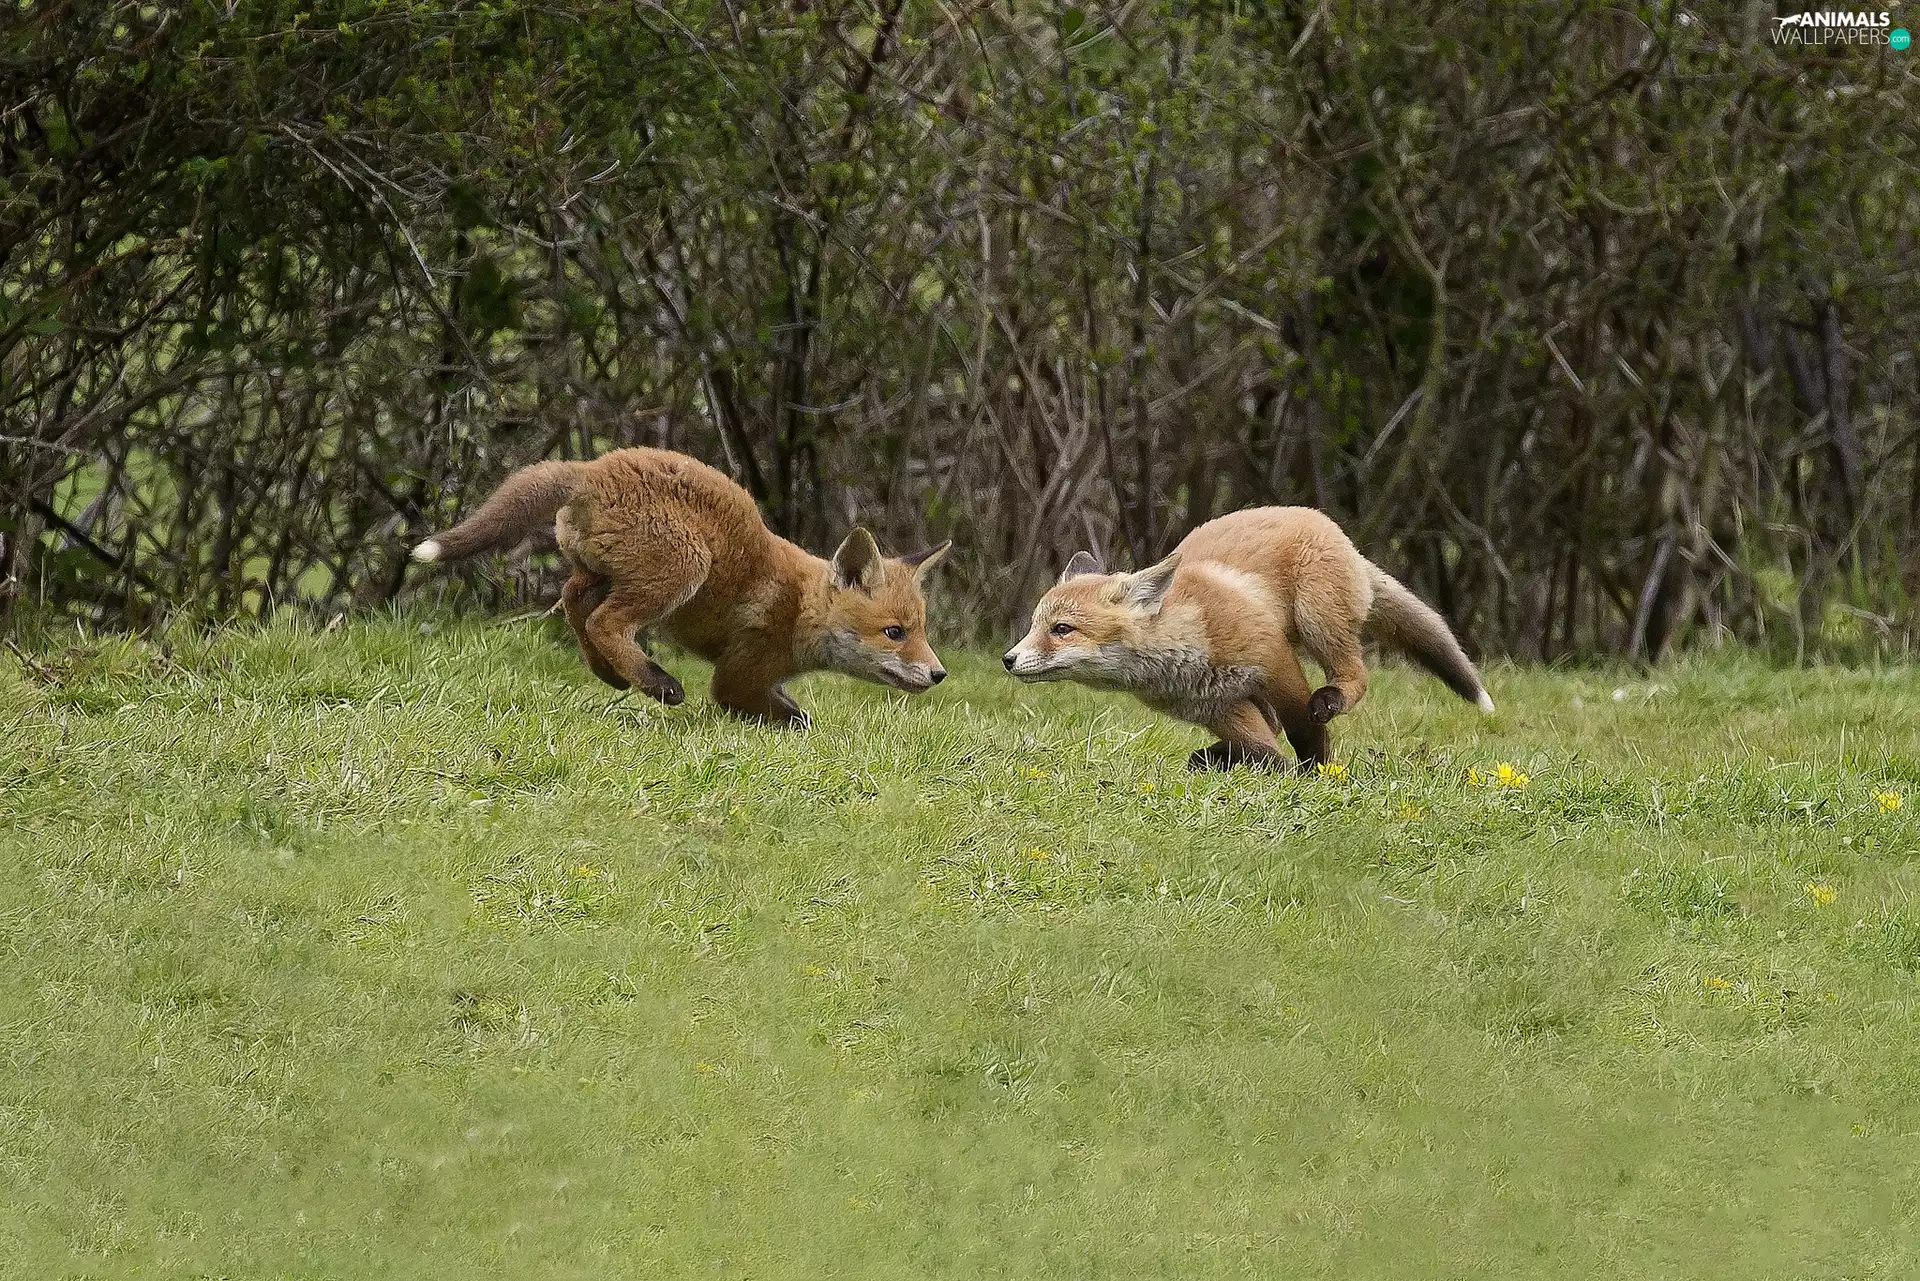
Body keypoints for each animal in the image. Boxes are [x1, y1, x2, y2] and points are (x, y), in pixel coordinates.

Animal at [410, 447, 951, 727]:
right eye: (895, 633)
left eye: (922, 630)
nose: (940, 674)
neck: (801, 610)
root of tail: (593, 467)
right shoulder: (738, 677)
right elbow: (789, 717)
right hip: (683, 568)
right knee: (605, 622)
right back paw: (655, 682)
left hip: (602, 572)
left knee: (573, 601)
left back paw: (610, 675)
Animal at [1002, 507, 1493, 772]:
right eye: (1034, 625)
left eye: (1061, 630)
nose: (1008, 659)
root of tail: (1335, 530)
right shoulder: (1218, 706)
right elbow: (1262, 749)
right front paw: (1255, 765)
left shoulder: (1274, 664)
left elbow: (1304, 733)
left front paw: (1316, 772)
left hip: (1317, 620)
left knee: (1354, 676)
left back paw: (1331, 699)